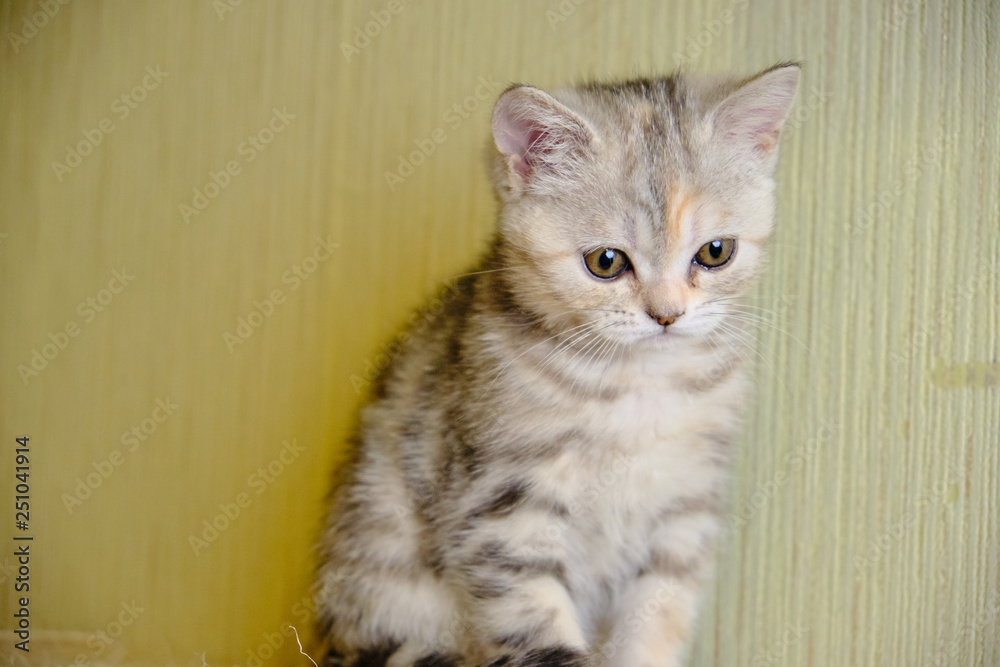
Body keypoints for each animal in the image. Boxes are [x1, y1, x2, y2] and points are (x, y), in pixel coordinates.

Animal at [316, 64, 800, 667]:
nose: (666, 314)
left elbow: (656, 619)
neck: (637, 387)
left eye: (715, 252)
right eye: (606, 262)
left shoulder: (684, 511)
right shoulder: (500, 508)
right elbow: (536, 628)